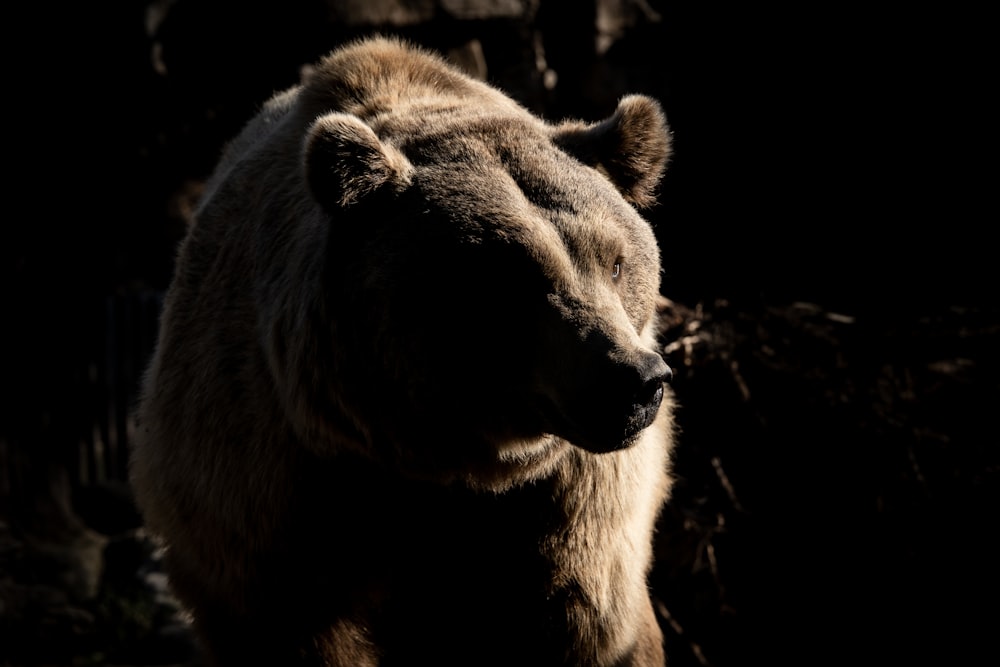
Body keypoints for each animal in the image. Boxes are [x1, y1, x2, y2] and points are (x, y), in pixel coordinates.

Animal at [133, 37, 676, 667]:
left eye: (615, 261)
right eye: (509, 278)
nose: (635, 379)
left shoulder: (574, 511)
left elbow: (590, 623)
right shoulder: (272, 500)